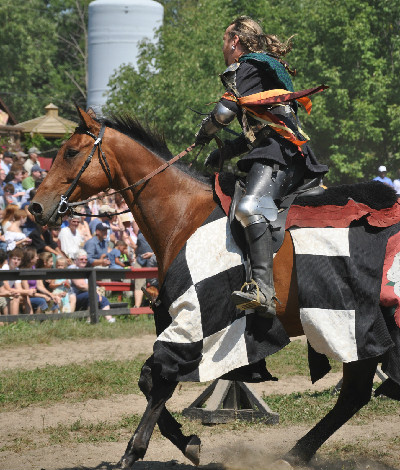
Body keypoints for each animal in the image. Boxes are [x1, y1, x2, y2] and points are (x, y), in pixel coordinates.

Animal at [28, 107, 400, 470]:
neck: (183, 214)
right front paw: (183, 441)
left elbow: (157, 378)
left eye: (71, 152)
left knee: (355, 392)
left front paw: (135, 451)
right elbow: (150, 380)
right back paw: (296, 454)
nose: (35, 206)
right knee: (354, 394)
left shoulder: (195, 321)